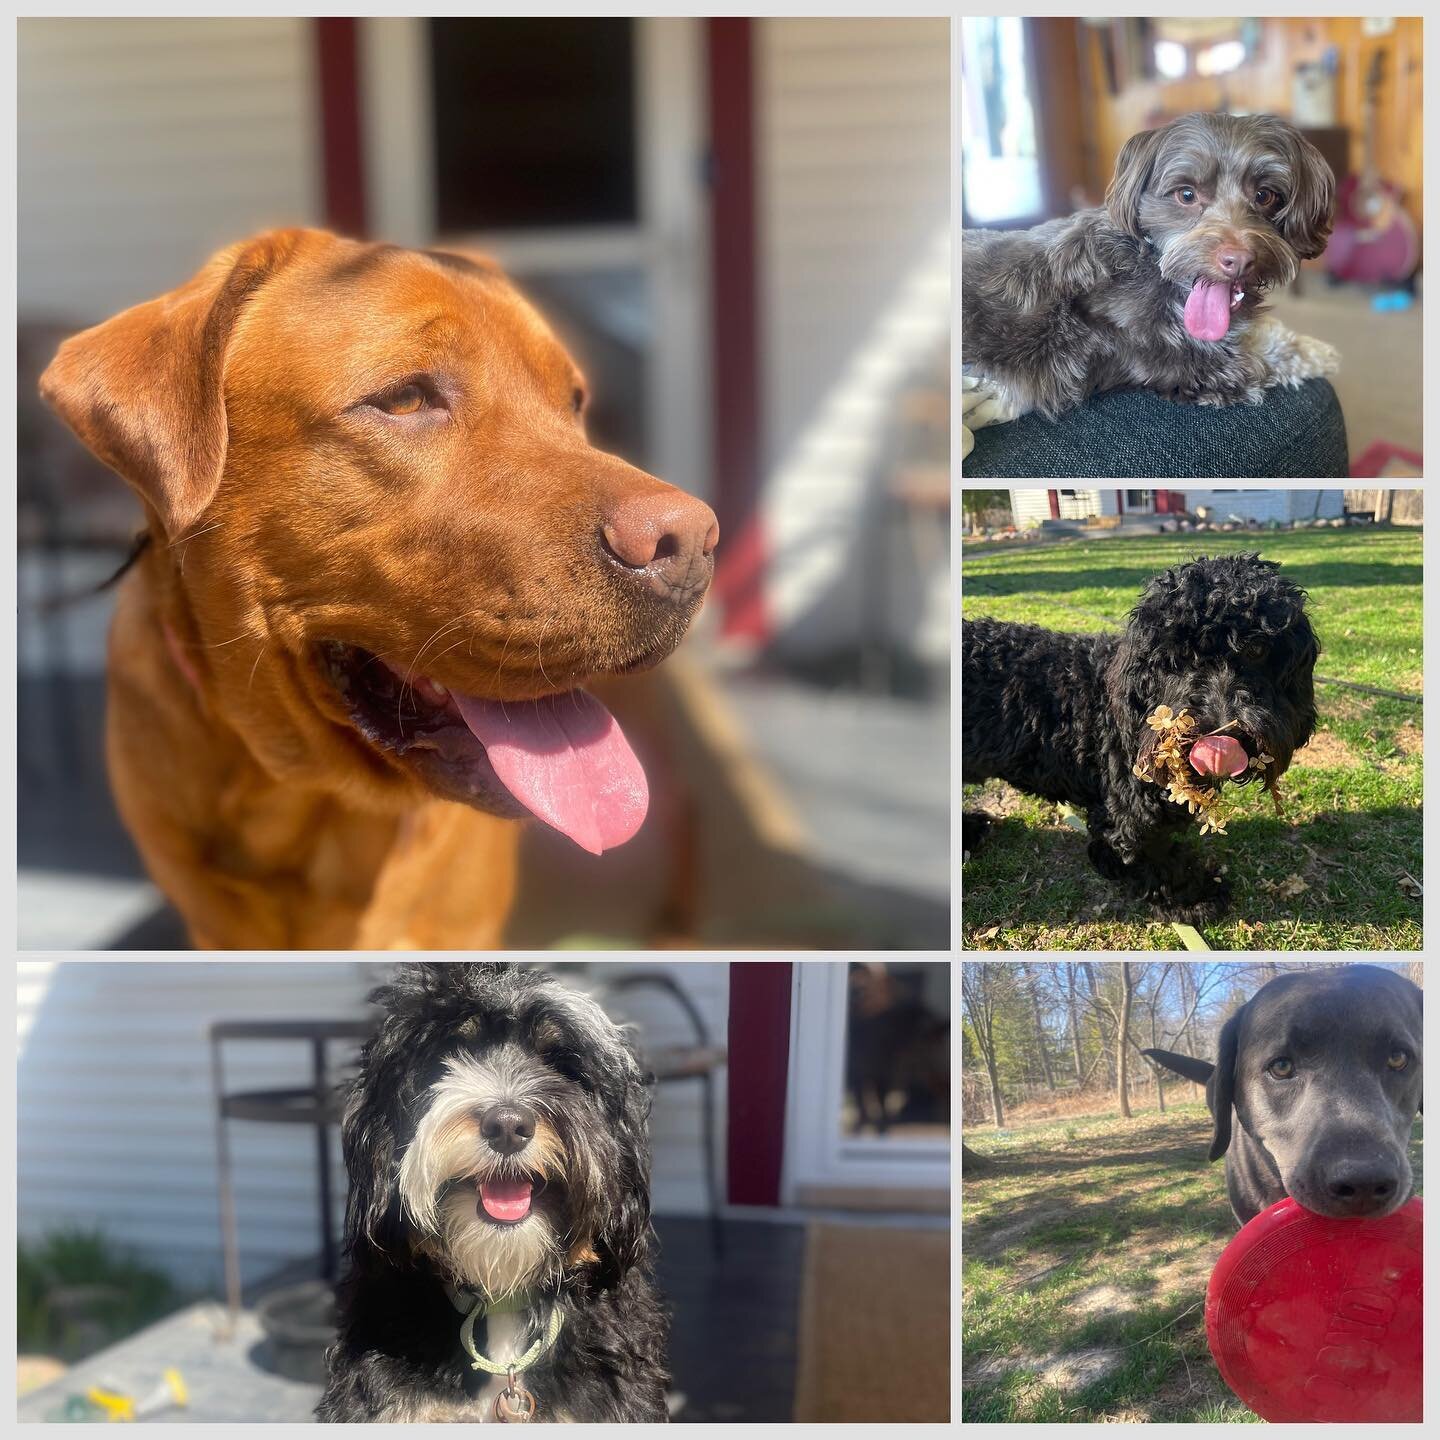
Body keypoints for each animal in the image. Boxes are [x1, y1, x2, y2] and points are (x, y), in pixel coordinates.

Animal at [967, 112, 1336, 417]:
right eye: (1186, 195)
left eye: (1265, 196)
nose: (1239, 259)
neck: (1149, 264)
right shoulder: (1186, 363)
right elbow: (1256, 360)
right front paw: (1312, 354)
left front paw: (1310, 347)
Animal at [967, 555, 1319, 915]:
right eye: (1181, 655)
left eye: (1257, 649)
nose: (1220, 736)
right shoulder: (1128, 813)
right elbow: (1153, 857)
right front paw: (1196, 895)